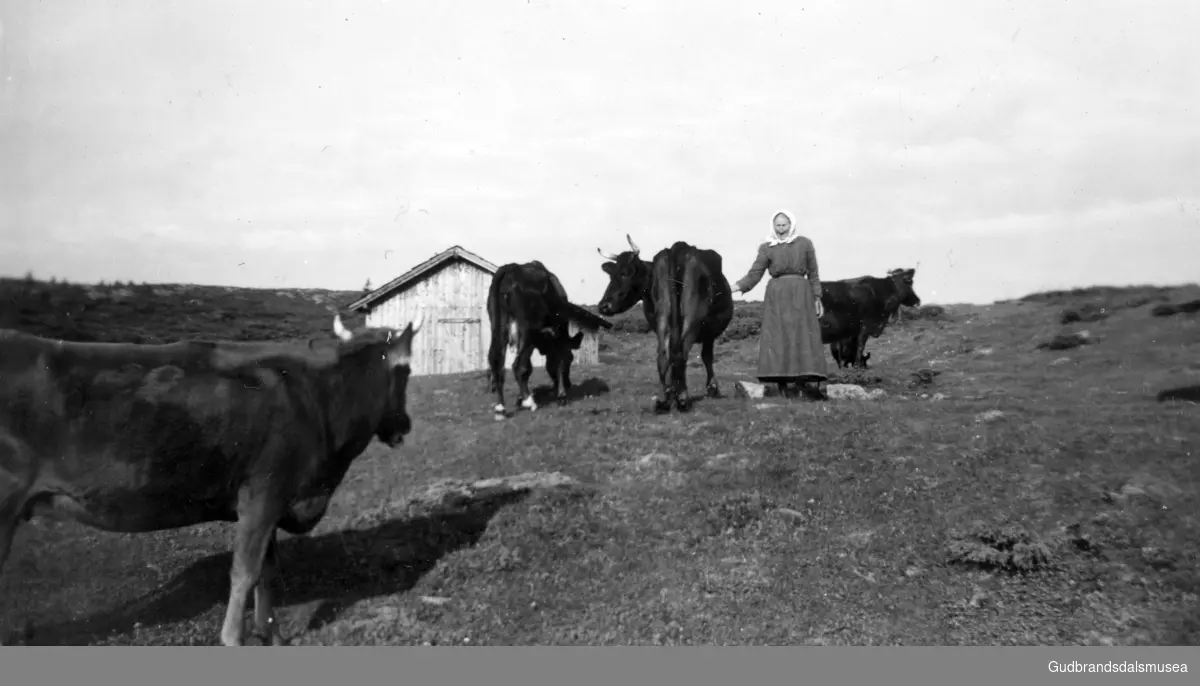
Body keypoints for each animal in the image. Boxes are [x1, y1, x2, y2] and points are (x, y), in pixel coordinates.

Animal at [0, 314, 424, 647]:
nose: (405, 424)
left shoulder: (276, 500)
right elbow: (245, 571)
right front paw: (234, 638)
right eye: (406, 369)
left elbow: (268, 572)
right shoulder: (263, 493)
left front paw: (272, 635)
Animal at [484, 259, 604, 414]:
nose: (569, 384)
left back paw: (500, 407)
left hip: (498, 325)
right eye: (571, 359)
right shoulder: (558, 334)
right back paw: (530, 403)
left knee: (497, 361)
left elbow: (531, 367)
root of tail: (511, 267)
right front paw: (561, 395)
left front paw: (520, 398)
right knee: (518, 365)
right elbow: (558, 360)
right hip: (529, 329)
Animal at [597, 232, 734, 412]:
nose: (603, 306)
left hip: (663, 316)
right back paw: (682, 398)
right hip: (692, 319)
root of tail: (677, 249)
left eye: (625, 272)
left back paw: (664, 399)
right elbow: (707, 356)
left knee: (664, 355)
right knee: (680, 354)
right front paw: (712, 388)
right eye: (612, 275)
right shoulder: (709, 332)